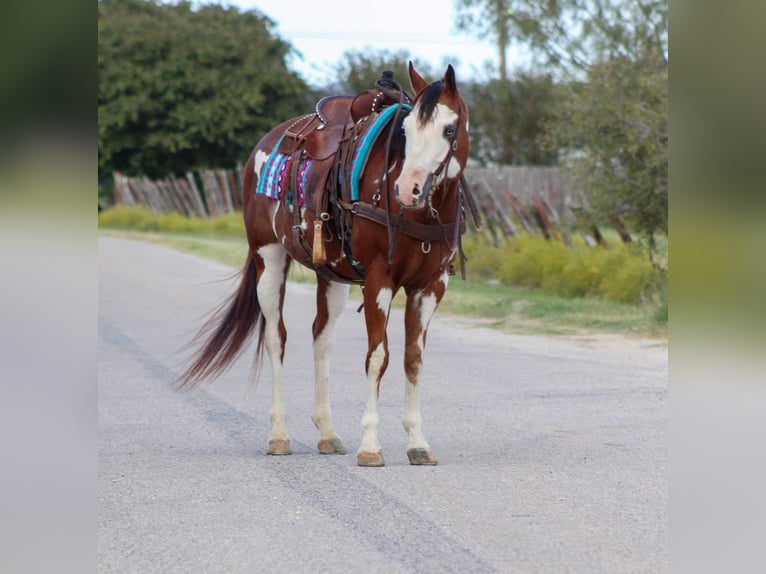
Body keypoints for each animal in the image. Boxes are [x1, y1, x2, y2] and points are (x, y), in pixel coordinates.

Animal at [178, 63, 479, 466]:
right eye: (407, 130)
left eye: (449, 129)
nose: (408, 189)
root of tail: (266, 143)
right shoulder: (379, 281)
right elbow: (377, 357)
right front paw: (370, 446)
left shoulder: (431, 286)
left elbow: (413, 359)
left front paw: (417, 442)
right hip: (268, 258)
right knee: (276, 339)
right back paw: (279, 435)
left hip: (332, 276)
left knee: (322, 339)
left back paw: (327, 433)